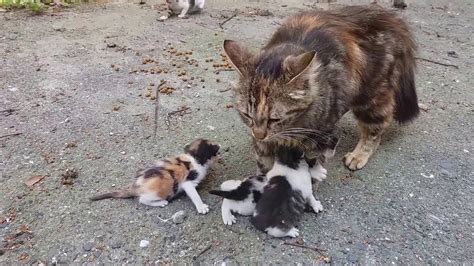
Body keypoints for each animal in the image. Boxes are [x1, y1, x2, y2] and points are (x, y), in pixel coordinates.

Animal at [90, 138, 219, 215]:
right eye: (213, 149)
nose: (219, 146)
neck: (192, 157)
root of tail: (135, 187)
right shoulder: (188, 182)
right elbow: (195, 195)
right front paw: (201, 207)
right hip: (157, 192)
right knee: (142, 200)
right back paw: (161, 203)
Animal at [223, 5, 418, 175]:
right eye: (247, 115)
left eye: (274, 119)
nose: (258, 134)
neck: (293, 124)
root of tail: (390, 16)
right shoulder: (263, 145)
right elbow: (264, 164)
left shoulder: (321, 136)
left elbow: (312, 167)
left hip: (370, 97)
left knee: (378, 126)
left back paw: (359, 154)